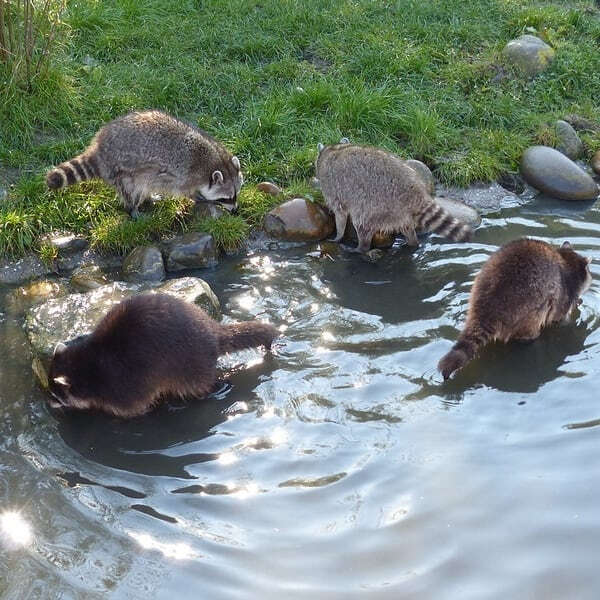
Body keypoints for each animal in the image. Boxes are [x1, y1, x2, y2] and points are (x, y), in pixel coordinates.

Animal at [45, 110, 244, 218]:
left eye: (236, 195)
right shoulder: (186, 176)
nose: (235, 210)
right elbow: (186, 191)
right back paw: (133, 208)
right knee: (133, 189)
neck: (216, 162)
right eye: (226, 198)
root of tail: (100, 148)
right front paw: (199, 197)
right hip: (124, 170)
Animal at [47, 292, 278, 418]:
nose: (48, 405)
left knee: (197, 385)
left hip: (189, 364)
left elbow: (135, 408)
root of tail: (211, 329)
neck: (88, 362)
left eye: (56, 395)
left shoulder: (123, 387)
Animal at [314, 142, 474, 252]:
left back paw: (361, 248)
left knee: (362, 223)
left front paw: (338, 235)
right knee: (406, 227)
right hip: (397, 211)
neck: (334, 150)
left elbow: (340, 213)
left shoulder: (333, 187)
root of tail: (415, 193)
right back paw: (412, 242)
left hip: (377, 205)